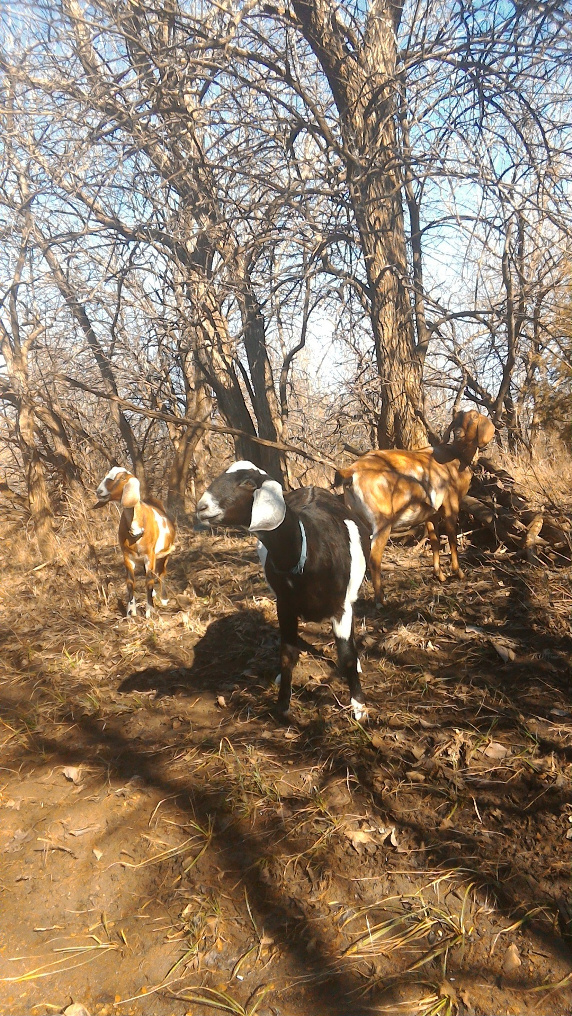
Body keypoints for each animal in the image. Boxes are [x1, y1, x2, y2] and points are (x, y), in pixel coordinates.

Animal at [93, 467, 175, 617]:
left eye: (121, 478)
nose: (99, 491)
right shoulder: (127, 556)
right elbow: (130, 582)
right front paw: (131, 612)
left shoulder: (150, 555)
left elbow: (149, 581)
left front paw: (150, 611)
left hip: (166, 552)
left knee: (161, 573)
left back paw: (163, 598)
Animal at [196, 465, 371, 719]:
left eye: (248, 483)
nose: (202, 507)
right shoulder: (285, 606)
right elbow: (287, 654)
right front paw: (282, 705)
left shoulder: (341, 607)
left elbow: (346, 656)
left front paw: (359, 706)